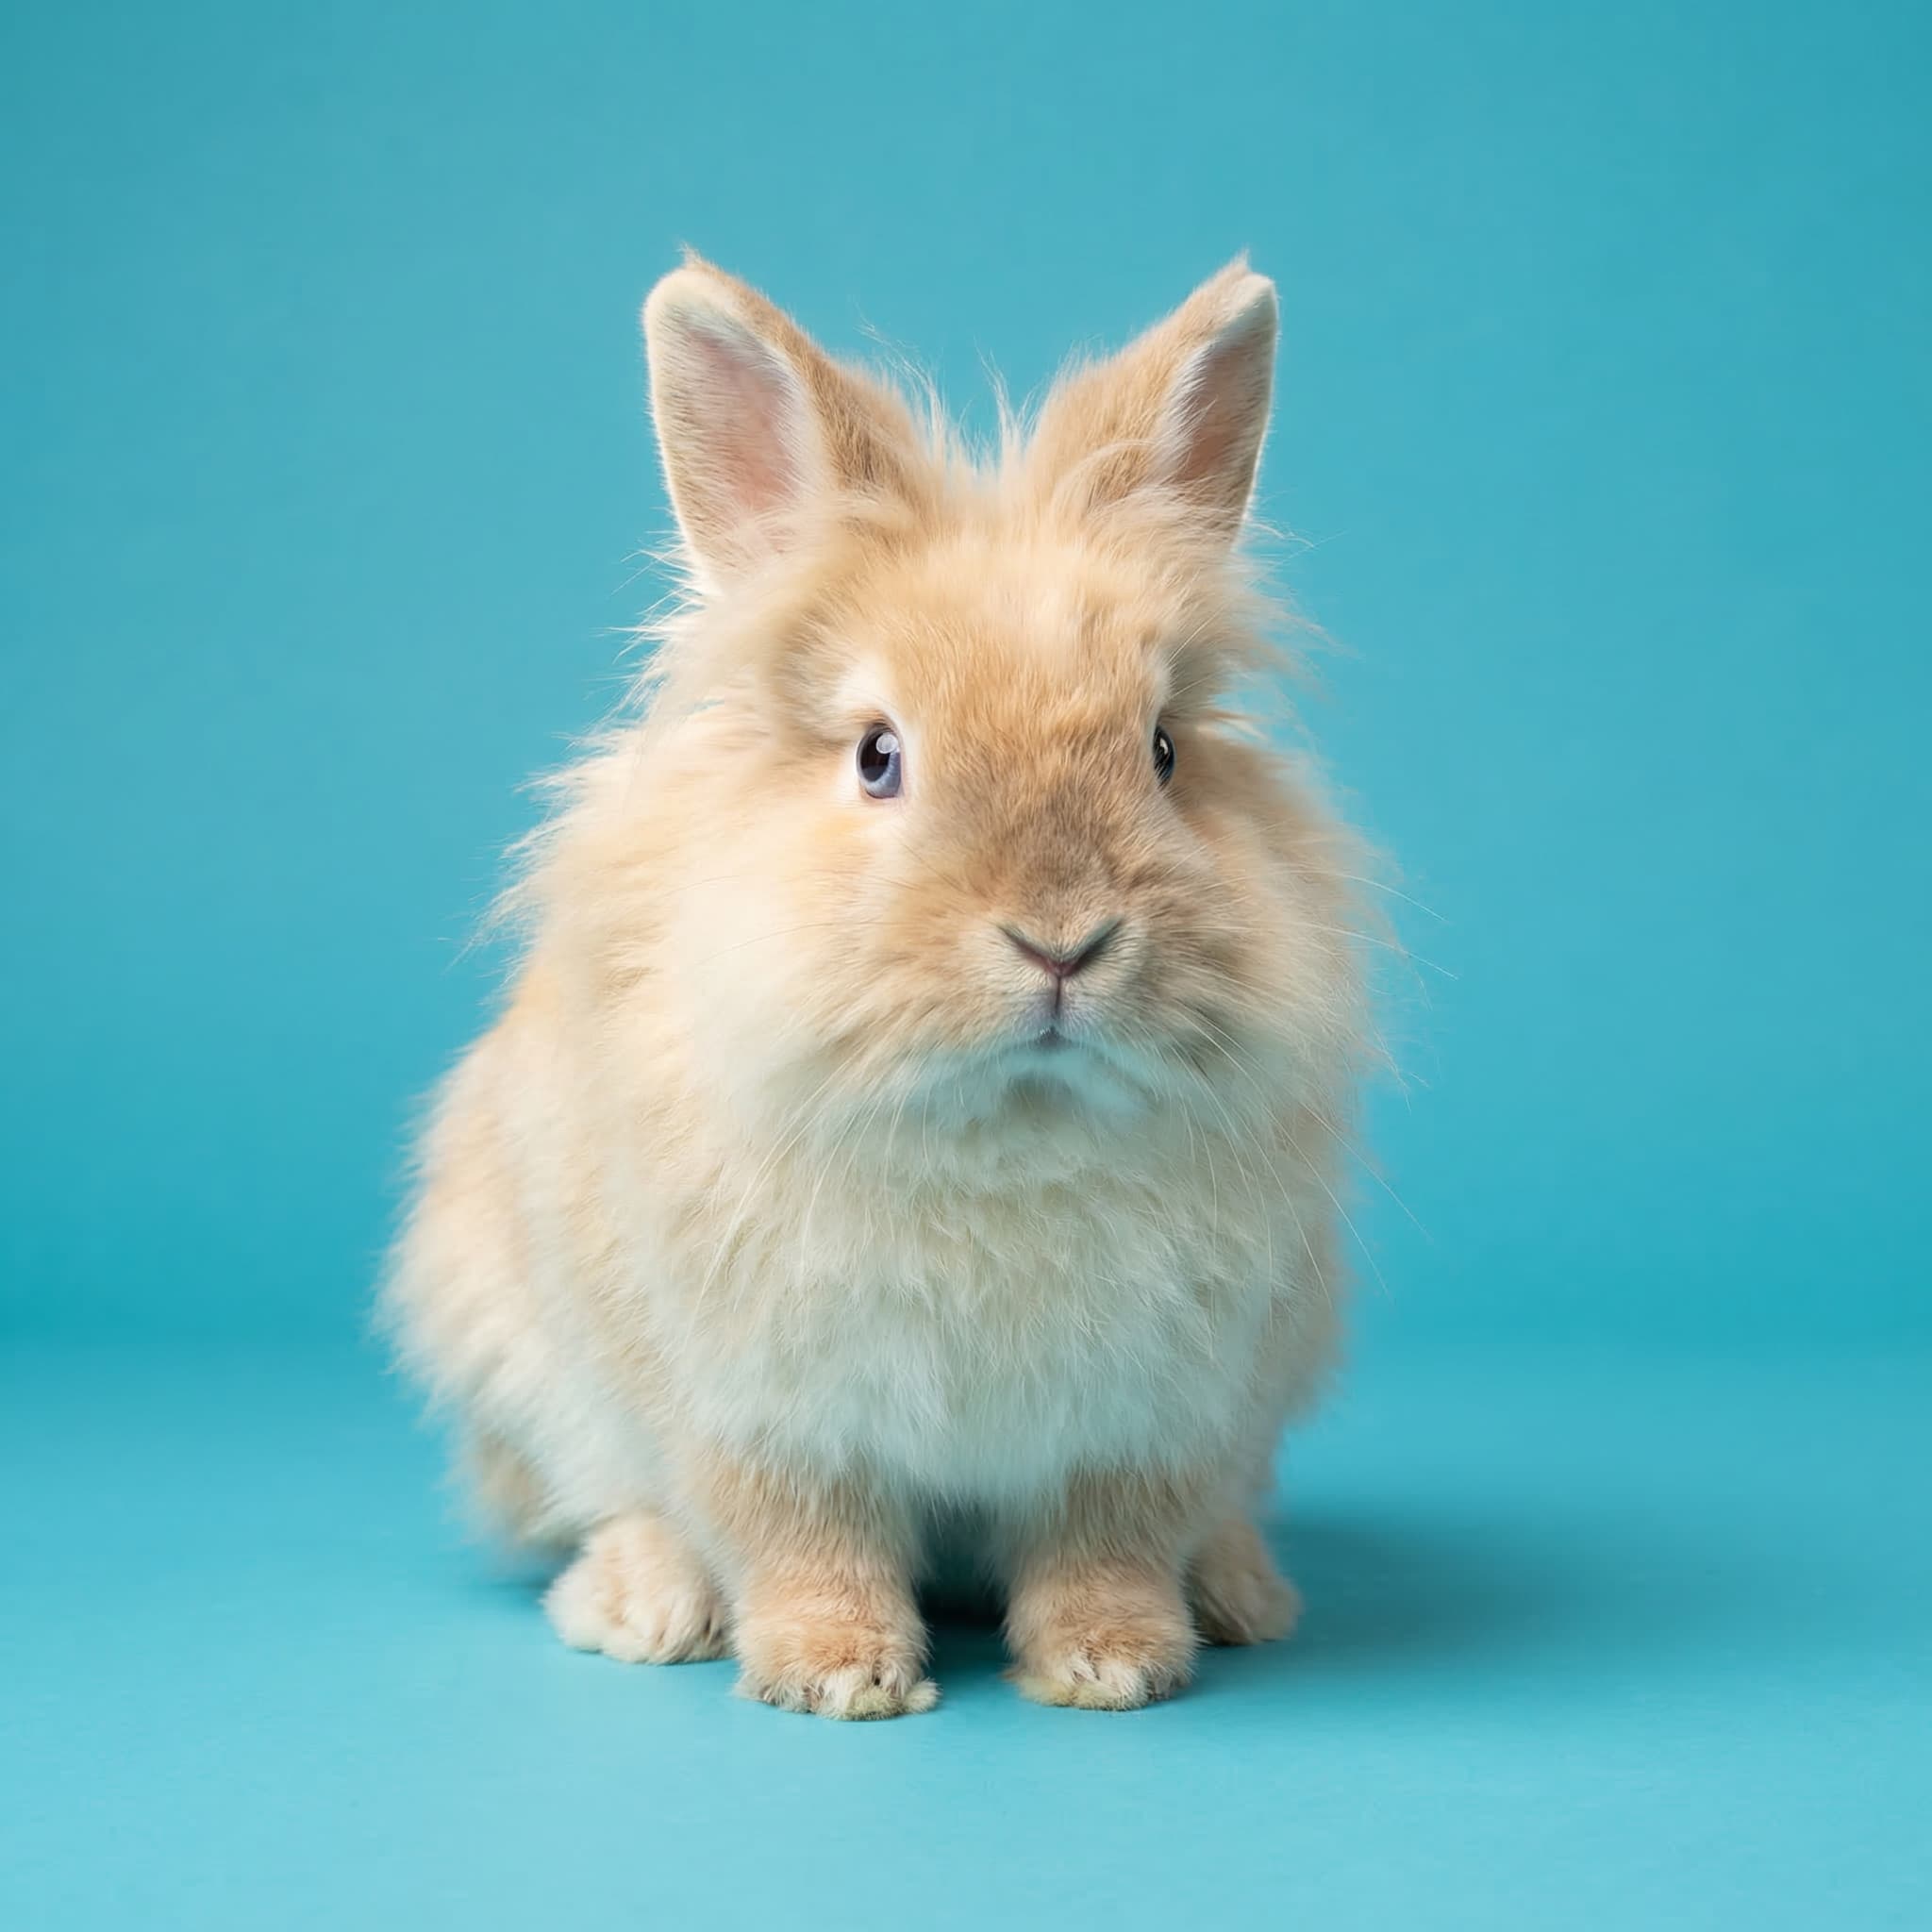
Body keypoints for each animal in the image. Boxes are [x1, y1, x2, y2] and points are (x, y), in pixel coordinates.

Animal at [383, 252, 1373, 1718]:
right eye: (877, 756)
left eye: (1162, 749)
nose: (1062, 940)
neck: (1010, 1133)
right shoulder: (760, 1411)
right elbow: (802, 1536)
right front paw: (838, 1677)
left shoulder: (1146, 1424)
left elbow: (1105, 1545)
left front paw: (1112, 1666)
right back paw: (643, 1607)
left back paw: (1243, 1594)